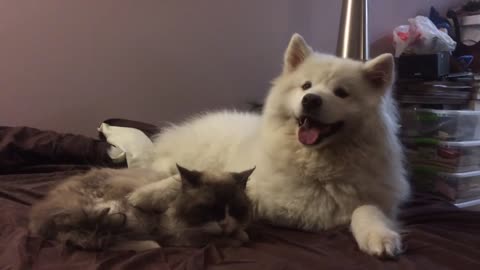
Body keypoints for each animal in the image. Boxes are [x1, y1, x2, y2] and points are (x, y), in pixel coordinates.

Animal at [28, 165, 255, 251]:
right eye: (208, 210)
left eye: (235, 210)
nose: (224, 223)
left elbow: (240, 236)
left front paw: (237, 234)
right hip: (120, 212)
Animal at [129, 32, 410, 256]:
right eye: (306, 86)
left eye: (341, 93)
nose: (310, 99)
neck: (315, 168)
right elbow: (187, 181)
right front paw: (145, 196)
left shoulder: (370, 202)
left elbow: (366, 210)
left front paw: (380, 236)